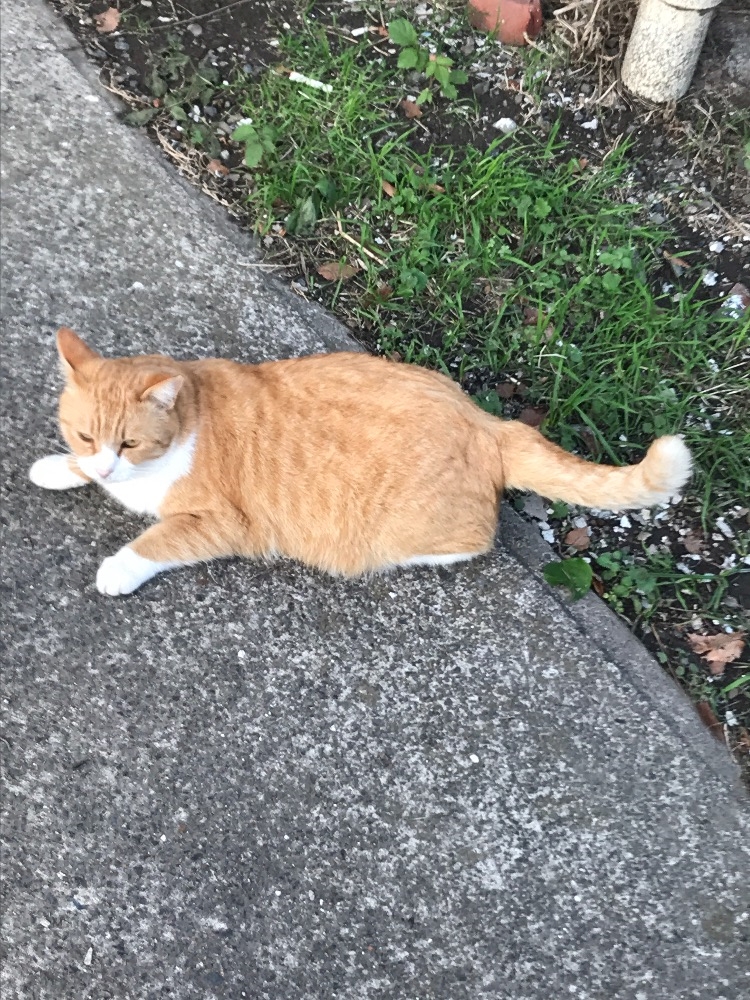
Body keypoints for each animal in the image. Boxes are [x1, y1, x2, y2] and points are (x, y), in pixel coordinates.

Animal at [29, 327, 692, 597]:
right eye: (86, 436)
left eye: (130, 444)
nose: (107, 466)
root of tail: (484, 419)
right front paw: (57, 468)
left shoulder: (222, 525)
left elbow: (158, 540)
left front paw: (118, 568)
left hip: (410, 530)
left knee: (475, 538)